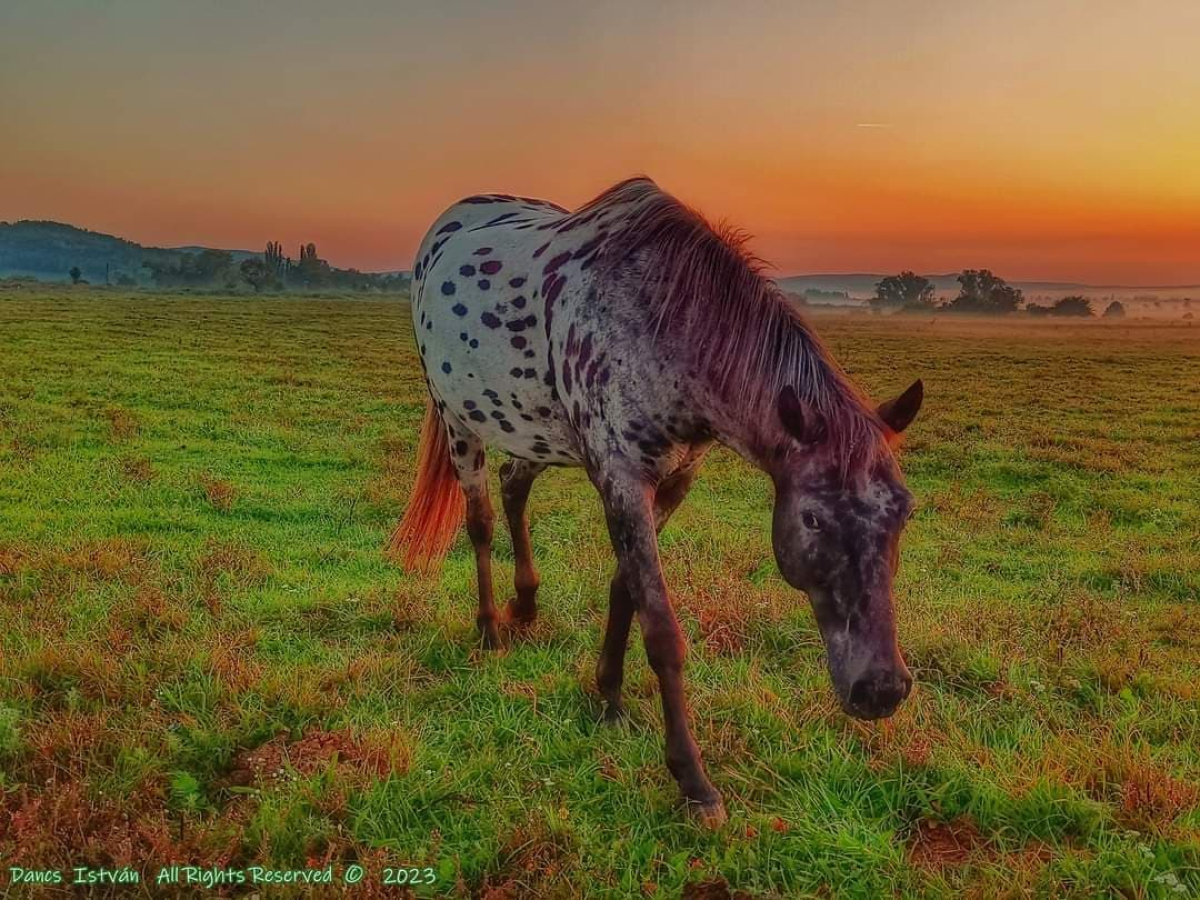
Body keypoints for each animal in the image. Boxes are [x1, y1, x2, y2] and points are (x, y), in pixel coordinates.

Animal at [388, 177, 921, 830]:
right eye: (813, 517)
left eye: (905, 511)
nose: (882, 690)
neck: (658, 322)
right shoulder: (621, 477)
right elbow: (662, 627)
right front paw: (693, 781)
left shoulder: (673, 480)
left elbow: (627, 589)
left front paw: (609, 697)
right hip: (459, 422)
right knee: (482, 519)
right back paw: (490, 629)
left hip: (536, 432)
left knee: (515, 490)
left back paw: (526, 606)